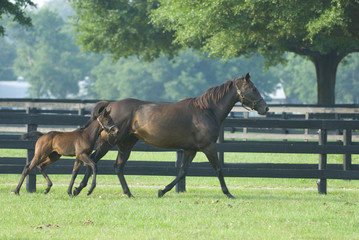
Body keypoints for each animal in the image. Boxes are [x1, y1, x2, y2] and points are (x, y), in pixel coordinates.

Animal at [74, 73, 268, 199]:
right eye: (253, 88)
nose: (265, 108)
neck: (207, 110)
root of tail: (110, 106)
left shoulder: (190, 150)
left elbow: (182, 172)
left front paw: (162, 191)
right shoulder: (208, 147)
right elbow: (218, 169)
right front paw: (228, 193)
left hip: (126, 144)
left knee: (117, 167)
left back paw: (128, 193)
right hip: (109, 142)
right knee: (93, 160)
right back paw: (80, 189)